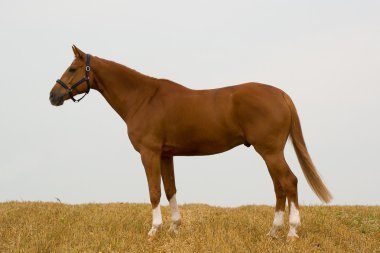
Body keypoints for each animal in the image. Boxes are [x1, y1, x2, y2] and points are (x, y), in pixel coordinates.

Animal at [49, 45, 332, 241]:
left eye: (72, 69)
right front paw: (174, 228)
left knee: (289, 182)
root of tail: (281, 94)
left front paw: (154, 230)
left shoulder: (149, 153)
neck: (143, 98)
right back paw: (273, 232)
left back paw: (291, 232)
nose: (53, 95)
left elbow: (154, 191)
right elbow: (170, 189)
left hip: (271, 152)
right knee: (279, 187)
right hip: (270, 153)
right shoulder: (166, 154)